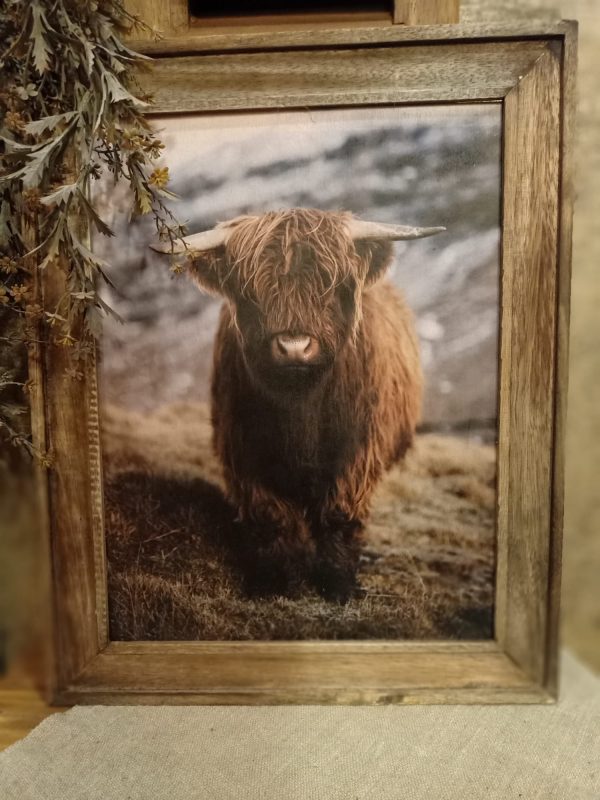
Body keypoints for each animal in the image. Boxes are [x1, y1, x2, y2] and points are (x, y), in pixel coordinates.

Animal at [154, 209, 446, 604]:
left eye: (332, 285)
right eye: (252, 290)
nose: (294, 347)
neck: (300, 408)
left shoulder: (356, 453)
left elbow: (339, 514)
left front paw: (337, 585)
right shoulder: (245, 451)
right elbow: (269, 516)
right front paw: (271, 582)